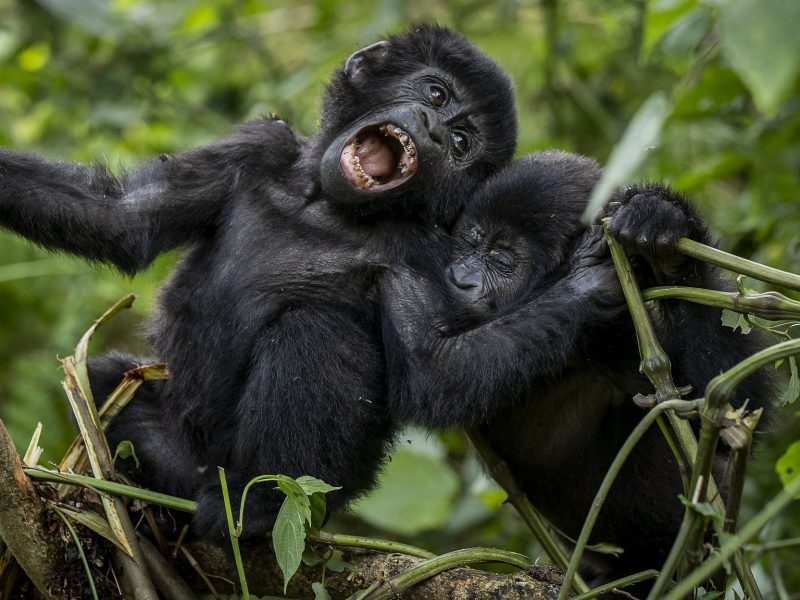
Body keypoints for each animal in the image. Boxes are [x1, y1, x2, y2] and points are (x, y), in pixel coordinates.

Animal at [0, 25, 516, 540]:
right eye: (436, 93)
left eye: (461, 143)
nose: (435, 129)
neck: (322, 204)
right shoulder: (257, 146)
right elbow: (122, 216)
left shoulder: (423, 252)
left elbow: (437, 374)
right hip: (177, 453)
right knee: (105, 379)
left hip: (317, 489)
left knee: (314, 332)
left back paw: (261, 505)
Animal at [384, 151, 772, 592]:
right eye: (469, 240)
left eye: (502, 260)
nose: (459, 279)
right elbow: (431, 370)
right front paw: (585, 285)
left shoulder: (625, 328)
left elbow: (725, 411)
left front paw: (668, 236)